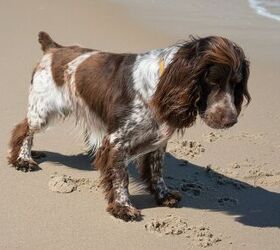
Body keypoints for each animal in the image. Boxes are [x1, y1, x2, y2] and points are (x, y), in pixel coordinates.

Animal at [7, 31, 250, 221]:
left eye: (237, 84)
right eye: (212, 81)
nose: (231, 120)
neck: (163, 82)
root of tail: (54, 48)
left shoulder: (157, 140)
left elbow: (157, 171)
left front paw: (163, 195)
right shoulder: (117, 141)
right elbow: (120, 177)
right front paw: (123, 207)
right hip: (43, 111)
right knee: (23, 129)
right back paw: (23, 159)